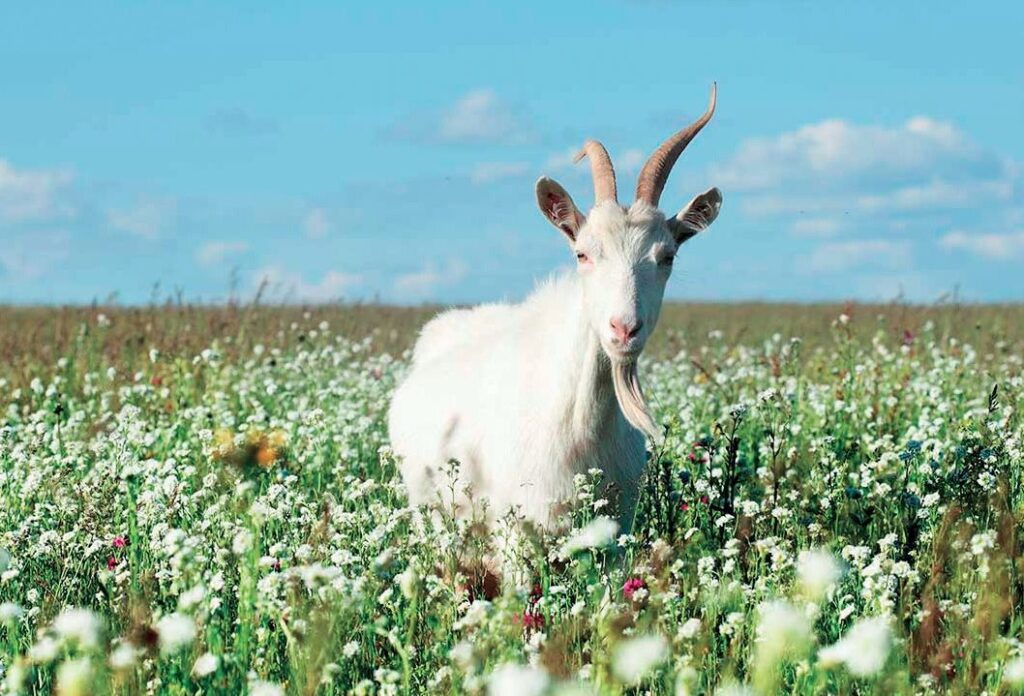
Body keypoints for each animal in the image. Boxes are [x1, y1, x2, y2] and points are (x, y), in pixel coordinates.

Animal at [387, 85, 724, 532]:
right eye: (582, 254)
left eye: (667, 255)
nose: (623, 329)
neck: (582, 424)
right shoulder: (518, 522)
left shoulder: (618, 524)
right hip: (430, 511)